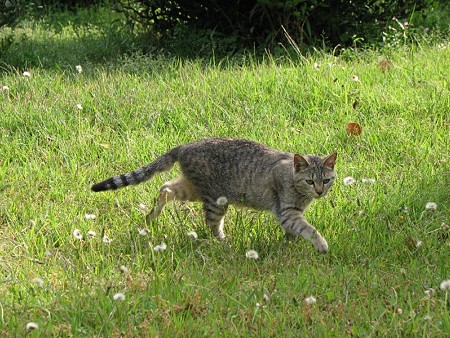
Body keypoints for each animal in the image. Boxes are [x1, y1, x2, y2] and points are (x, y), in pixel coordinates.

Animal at [92, 137, 338, 251]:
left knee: (165, 187)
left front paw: (289, 243)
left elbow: (295, 232)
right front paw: (321, 245)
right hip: (215, 200)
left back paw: (152, 216)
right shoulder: (287, 212)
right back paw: (224, 243)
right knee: (211, 224)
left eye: (326, 180)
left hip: (192, 190)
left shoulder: (291, 214)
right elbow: (309, 229)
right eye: (310, 181)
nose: (319, 191)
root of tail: (184, 146)